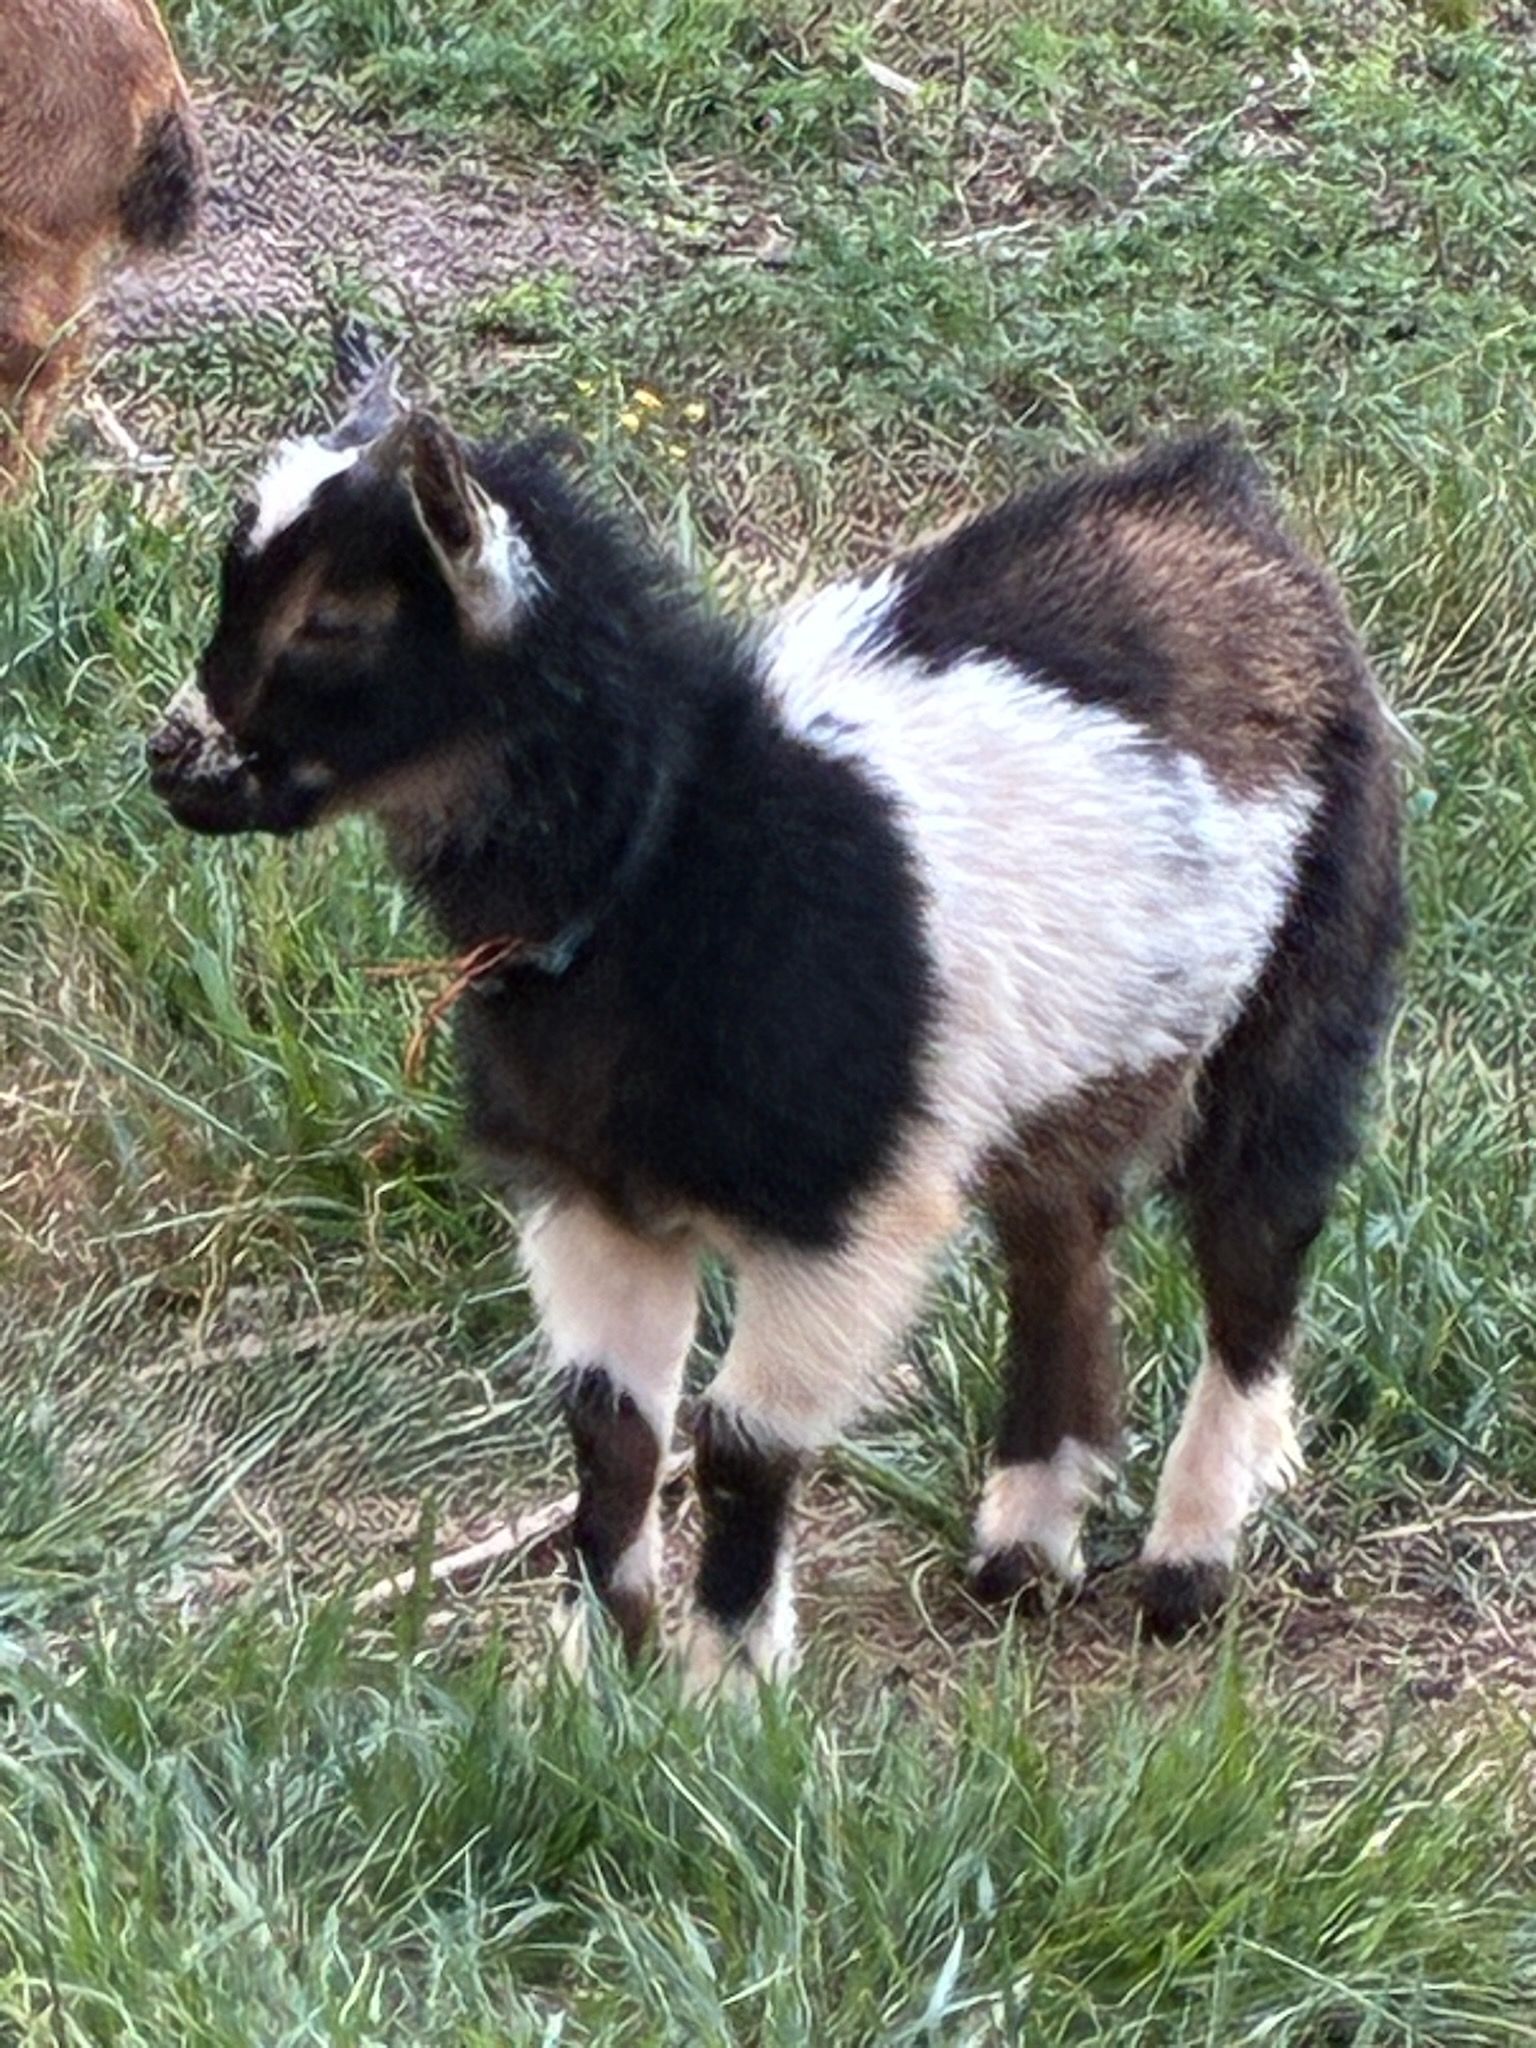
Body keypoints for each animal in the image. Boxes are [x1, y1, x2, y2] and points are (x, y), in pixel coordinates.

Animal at [146, 353, 1404, 1684]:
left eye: (336, 619)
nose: (174, 759)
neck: (680, 856)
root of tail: (1218, 502)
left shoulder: (840, 1216)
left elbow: (743, 1439)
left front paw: (725, 1681)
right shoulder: (589, 1193)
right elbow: (611, 1427)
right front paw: (594, 1662)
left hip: (1312, 969)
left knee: (1258, 1239)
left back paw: (1188, 1561)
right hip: (1067, 1060)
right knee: (1061, 1237)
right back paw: (1024, 1542)